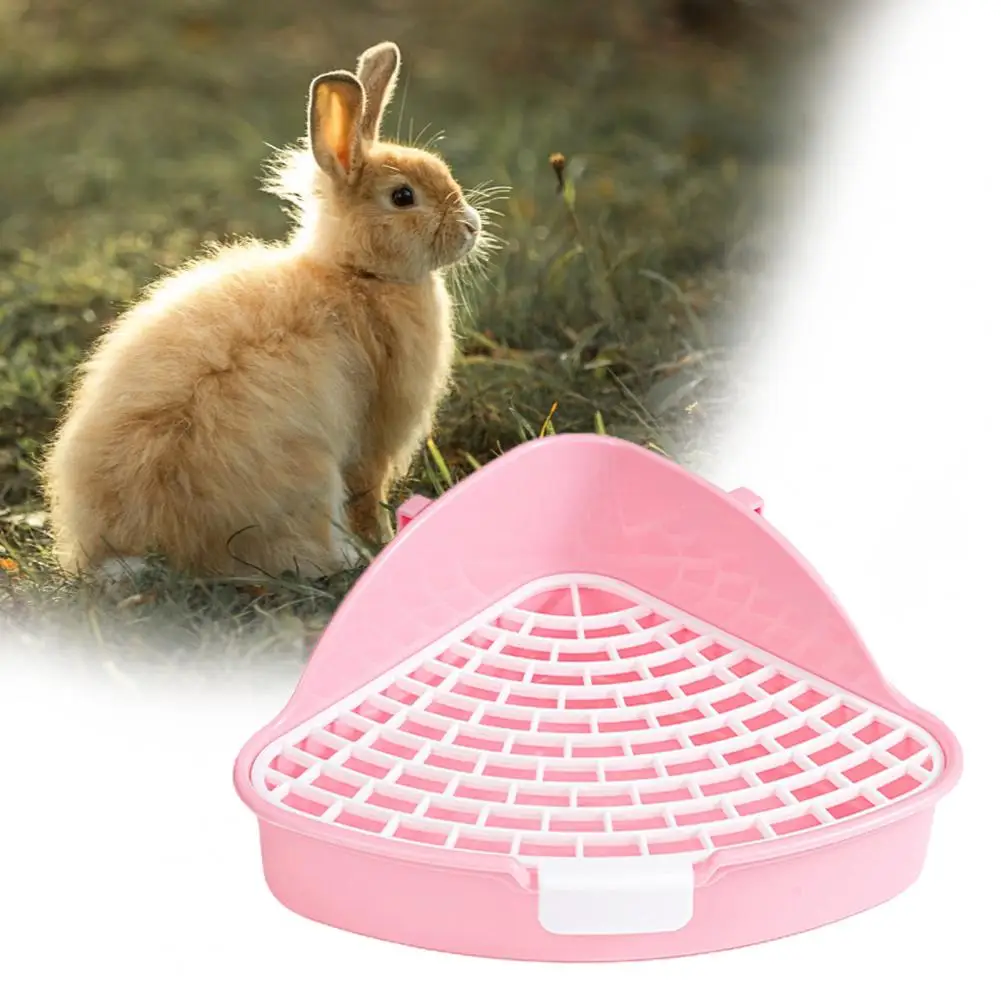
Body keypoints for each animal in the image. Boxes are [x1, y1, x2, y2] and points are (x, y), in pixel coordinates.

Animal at [42, 41, 491, 580]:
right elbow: (369, 495)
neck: (357, 275)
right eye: (403, 197)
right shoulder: (374, 438)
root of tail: (150, 546)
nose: (471, 227)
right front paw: (383, 543)